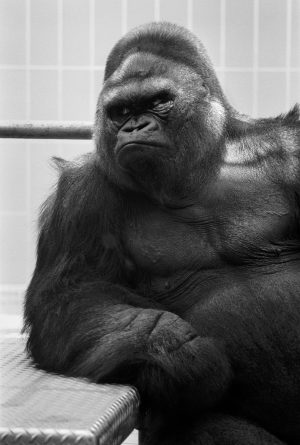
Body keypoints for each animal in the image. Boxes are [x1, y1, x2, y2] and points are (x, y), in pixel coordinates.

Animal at [24, 22, 300, 442]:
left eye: (158, 101)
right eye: (121, 111)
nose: (135, 126)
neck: (203, 166)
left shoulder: (289, 150)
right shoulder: (81, 193)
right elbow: (71, 295)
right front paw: (172, 346)